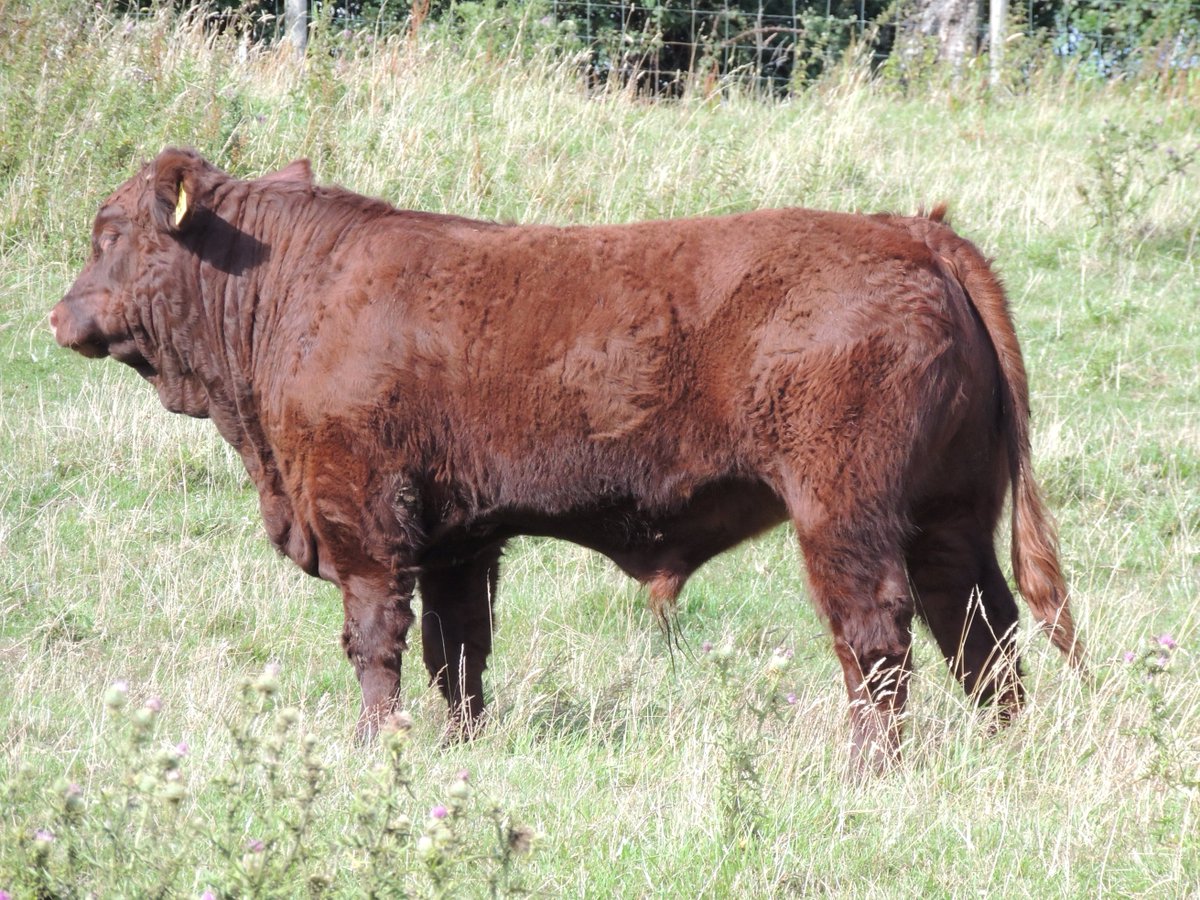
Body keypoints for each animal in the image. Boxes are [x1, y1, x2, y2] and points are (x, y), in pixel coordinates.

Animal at [50, 148, 1081, 773]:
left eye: (111, 232)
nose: (60, 314)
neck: (290, 286)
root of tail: (910, 230)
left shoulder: (364, 520)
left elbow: (376, 639)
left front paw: (376, 746)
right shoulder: (457, 538)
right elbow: (457, 650)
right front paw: (459, 746)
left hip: (845, 517)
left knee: (878, 636)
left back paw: (869, 770)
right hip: (950, 517)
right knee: (981, 632)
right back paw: (1005, 753)